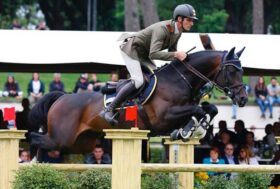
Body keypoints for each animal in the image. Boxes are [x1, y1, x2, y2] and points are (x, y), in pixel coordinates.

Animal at [28, 47, 247, 154]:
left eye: (242, 70)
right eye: (231, 70)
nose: (243, 99)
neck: (180, 80)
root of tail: (62, 97)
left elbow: (210, 108)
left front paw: (188, 130)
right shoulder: (164, 117)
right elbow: (199, 110)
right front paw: (189, 129)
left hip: (81, 143)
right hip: (60, 138)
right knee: (35, 138)